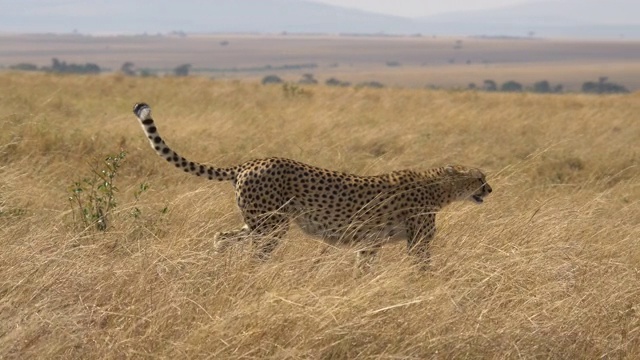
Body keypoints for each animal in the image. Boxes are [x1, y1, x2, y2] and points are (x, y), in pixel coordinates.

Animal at [132, 102, 492, 268]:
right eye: (480, 178)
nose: (490, 190)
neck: (440, 187)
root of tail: (251, 162)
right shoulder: (416, 244)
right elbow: (423, 271)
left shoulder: (370, 242)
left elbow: (364, 268)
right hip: (271, 226)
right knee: (255, 254)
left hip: (260, 222)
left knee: (222, 236)